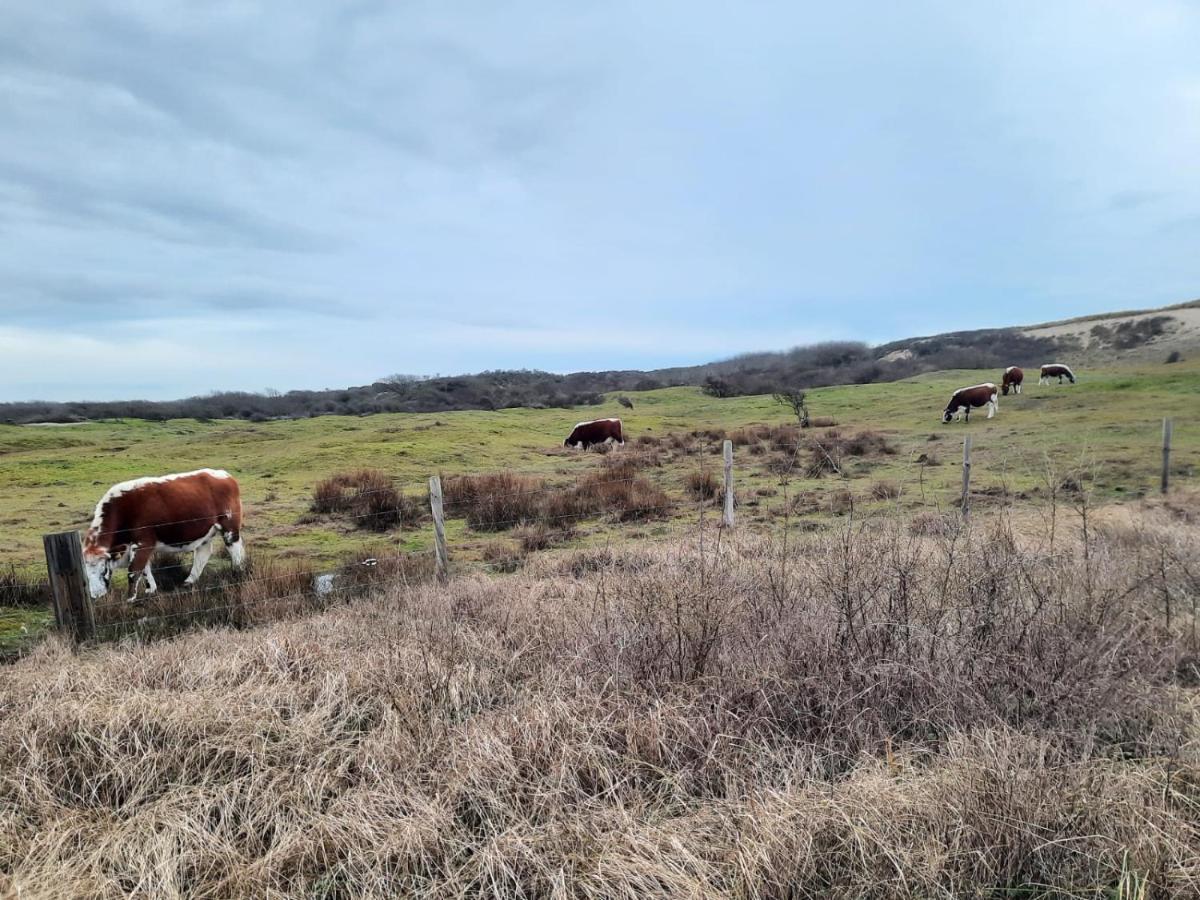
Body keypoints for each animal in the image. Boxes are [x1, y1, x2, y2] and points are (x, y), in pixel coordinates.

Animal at [82, 468, 246, 602]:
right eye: (86, 573)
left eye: (103, 569)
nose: (95, 596)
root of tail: (223, 474)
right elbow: (145, 569)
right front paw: (150, 590)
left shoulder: (143, 543)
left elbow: (134, 571)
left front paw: (130, 599)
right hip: (205, 533)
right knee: (203, 554)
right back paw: (189, 581)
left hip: (229, 526)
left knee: (235, 549)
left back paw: (237, 572)